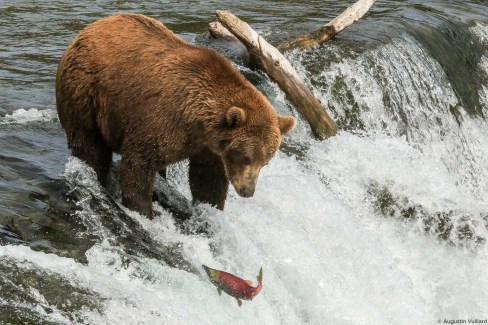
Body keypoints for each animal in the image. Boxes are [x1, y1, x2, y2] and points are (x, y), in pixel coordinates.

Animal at [55, 14, 296, 218]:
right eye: (245, 156)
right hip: (85, 93)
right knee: (90, 146)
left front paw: (211, 207)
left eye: (265, 161)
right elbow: (138, 167)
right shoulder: (158, 120)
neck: (197, 121)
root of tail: (89, 28)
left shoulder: (208, 147)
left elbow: (207, 180)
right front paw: (142, 210)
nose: (247, 191)